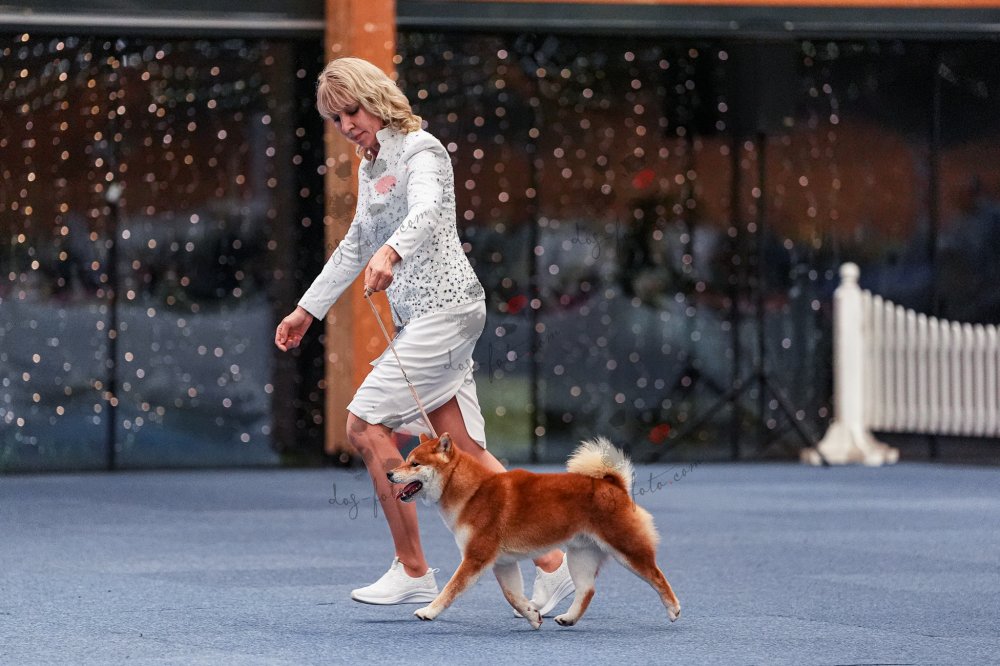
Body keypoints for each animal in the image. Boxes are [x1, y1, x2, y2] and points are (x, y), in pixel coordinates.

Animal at [387, 432, 681, 629]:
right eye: (405, 460)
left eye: (414, 464)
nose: (389, 474)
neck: (472, 493)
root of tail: (613, 484)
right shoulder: (501, 563)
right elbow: (513, 596)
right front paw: (532, 615)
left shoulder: (476, 558)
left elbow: (450, 589)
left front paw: (429, 611)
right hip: (580, 556)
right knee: (587, 591)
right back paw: (568, 618)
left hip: (626, 549)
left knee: (656, 576)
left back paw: (673, 608)